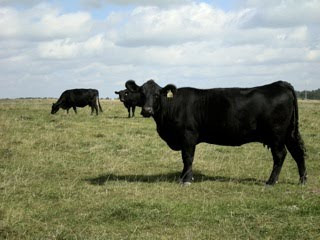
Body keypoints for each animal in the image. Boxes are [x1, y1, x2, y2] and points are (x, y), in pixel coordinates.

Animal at [126, 79, 306, 187]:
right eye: (142, 93)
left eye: (157, 95)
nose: (147, 110)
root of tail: (280, 84)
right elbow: (185, 159)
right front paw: (183, 177)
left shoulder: (188, 136)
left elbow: (187, 157)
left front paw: (186, 180)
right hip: (288, 133)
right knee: (297, 153)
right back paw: (303, 180)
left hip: (276, 135)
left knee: (280, 155)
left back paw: (271, 181)